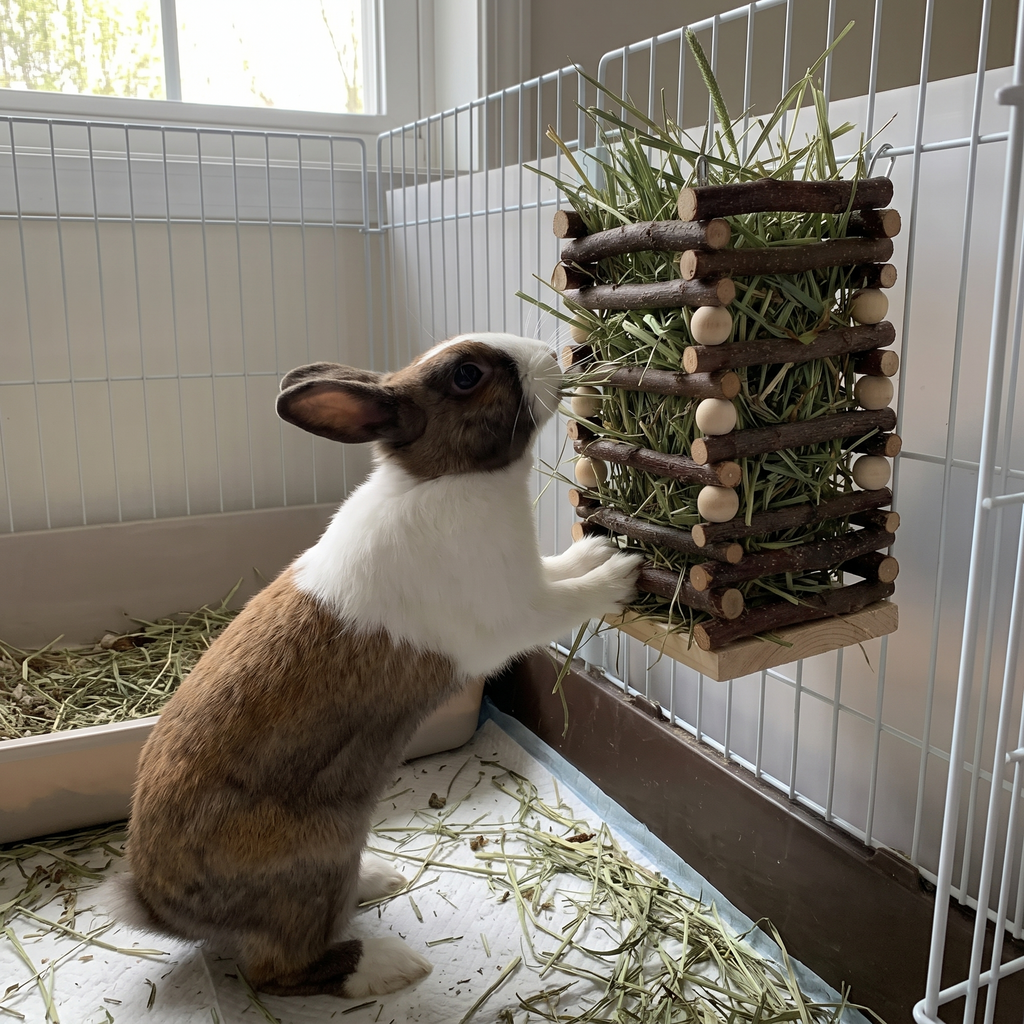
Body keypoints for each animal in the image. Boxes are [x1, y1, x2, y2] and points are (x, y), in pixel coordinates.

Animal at [102, 332, 643, 999]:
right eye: (467, 375)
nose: (552, 352)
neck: (441, 478)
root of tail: (159, 908)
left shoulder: (530, 576)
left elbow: (561, 570)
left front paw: (596, 549)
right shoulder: (517, 613)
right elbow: (568, 600)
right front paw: (621, 573)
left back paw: (379, 879)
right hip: (315, 863)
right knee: (276, 971)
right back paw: (388, 966)